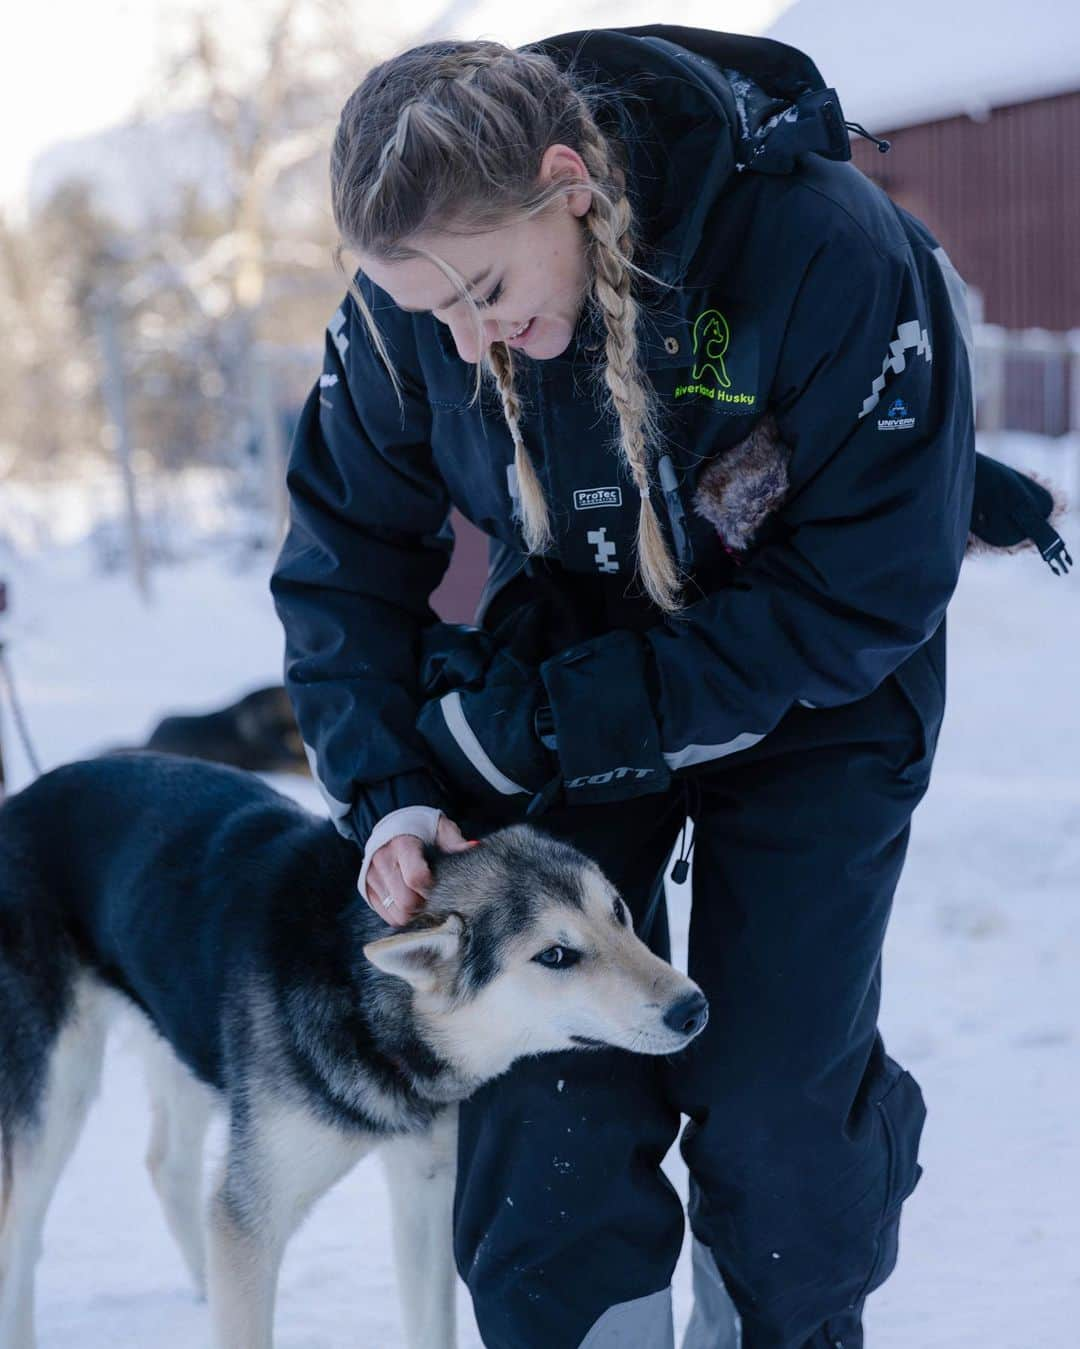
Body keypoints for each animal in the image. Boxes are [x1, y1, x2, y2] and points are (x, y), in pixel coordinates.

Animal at [0, 755, 706, 1343]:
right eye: (555, 956)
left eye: (619, 913)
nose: (694, 1007)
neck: (363, 995)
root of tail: (20, 799)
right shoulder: (253, 1216)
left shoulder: (425, 1186)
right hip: (57, 1093)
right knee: (21, 1230)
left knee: (168, 1165)